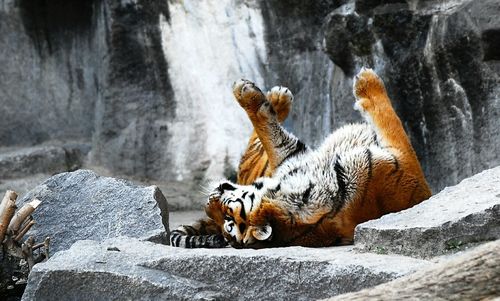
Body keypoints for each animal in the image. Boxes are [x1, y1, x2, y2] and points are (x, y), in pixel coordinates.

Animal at [170, 68, 432, 248]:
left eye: (226, 217)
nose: (209, 201)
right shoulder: (407, 166)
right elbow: (390, 119)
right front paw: (367, 80)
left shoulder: (292, 157)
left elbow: (269, 131)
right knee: (251, 150)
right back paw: (278, 97)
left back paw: (277, 97)